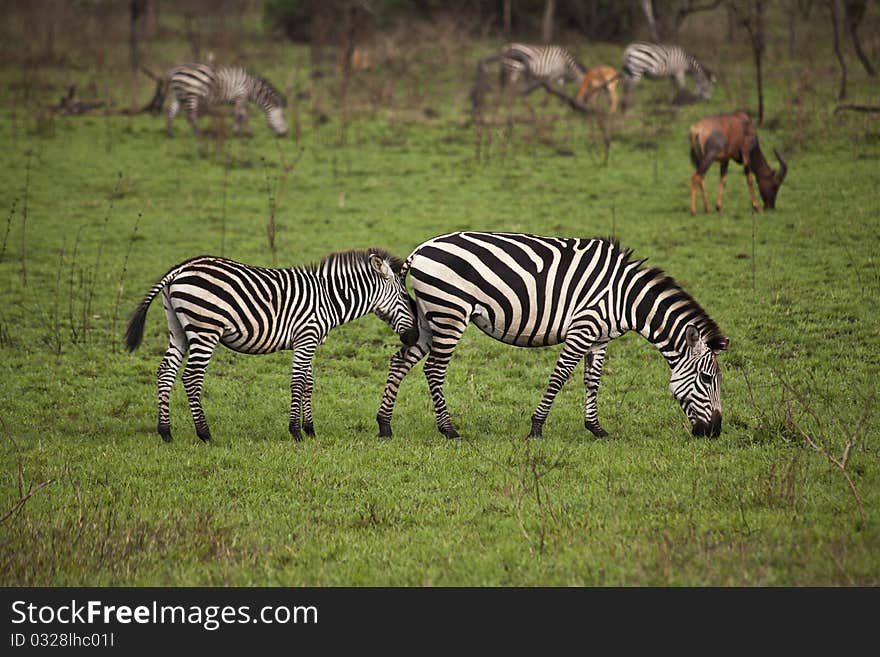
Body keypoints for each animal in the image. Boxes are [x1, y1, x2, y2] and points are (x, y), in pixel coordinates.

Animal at [124, 250, 422, 440]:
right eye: (406, 298)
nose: (414, 337)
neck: (329, 298)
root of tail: (179, 269)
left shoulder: (308, 341)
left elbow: (308, 383)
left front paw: (310, 429)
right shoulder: (306, 337)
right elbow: (297, 383)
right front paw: (296, 432)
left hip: (178, 330)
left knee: (166, 371)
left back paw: (165, 432)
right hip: (205, 329)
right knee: (191, 377)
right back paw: (205, 434)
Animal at [376, 231, 728, 440]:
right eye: (707, 379)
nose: (714, 431)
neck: (624, 298)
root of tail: (419, 250)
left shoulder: (599, 338)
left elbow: (592, 381)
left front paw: (596, 428)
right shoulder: (583, 328)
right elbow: (559, 377)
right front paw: (536, 427)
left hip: (428, 317)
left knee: (399, 361)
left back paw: (384, 424)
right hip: (450, 313)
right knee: (434, 369)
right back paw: (448, 430)